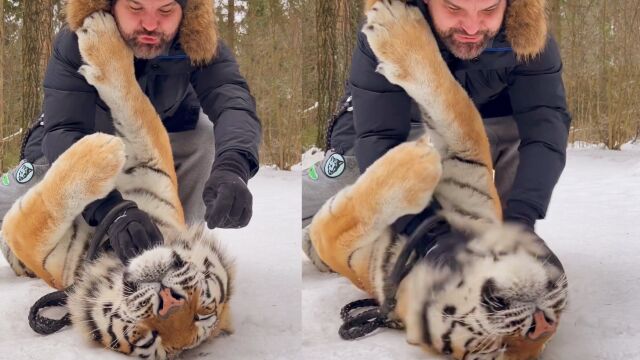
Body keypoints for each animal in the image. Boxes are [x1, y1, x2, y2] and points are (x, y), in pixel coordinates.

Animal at [0, 11, 234, 360]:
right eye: (203, 312)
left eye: (148, 338)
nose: (169, 299)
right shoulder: (152, 170)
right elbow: (137, 104)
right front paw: (101, 31)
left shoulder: (34, 247)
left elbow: (39, 216)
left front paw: (101, 149)